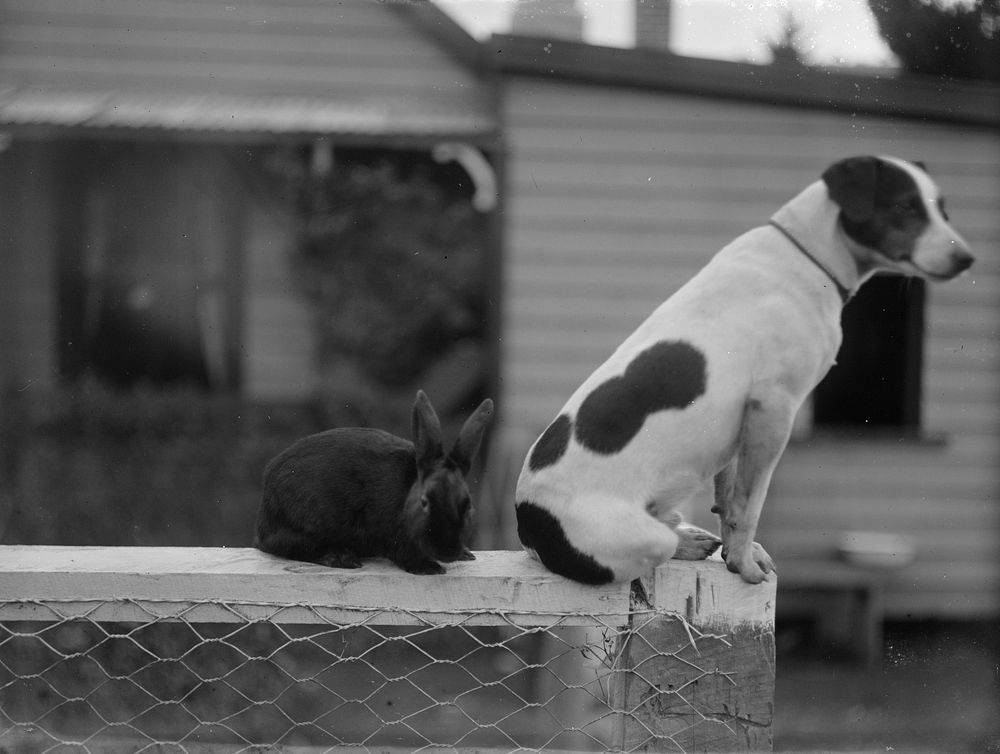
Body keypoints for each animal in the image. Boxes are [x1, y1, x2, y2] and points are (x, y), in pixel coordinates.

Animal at [256, 390, 494, 572]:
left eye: (468, 505)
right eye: (424, 502)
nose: (447, 551)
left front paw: (465, 555)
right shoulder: (390, 533)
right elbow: (404, 554)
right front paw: (429, 568)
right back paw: (341, 558)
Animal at [516, 156, 976, 584]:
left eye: (942, 210)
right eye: (905, 206)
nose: (967, 258)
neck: (808, 256)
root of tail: (528, 525)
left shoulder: (740, 424)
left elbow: (728, 500)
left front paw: (736, 554)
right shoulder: (774, 408)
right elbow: (749, 503)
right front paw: (744, 564)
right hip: (640, 538)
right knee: (660, 546)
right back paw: (687, 542)